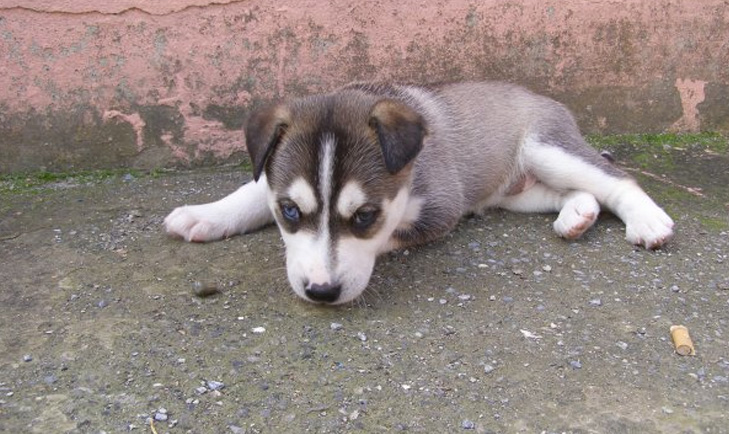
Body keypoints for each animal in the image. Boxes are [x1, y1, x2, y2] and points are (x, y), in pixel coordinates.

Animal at [164, 82, 672, 306]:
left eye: (364, 217)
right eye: (290, 211)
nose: (322, 292)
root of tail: (545, 99)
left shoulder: (442, 208)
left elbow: (385, 239)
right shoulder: (272, 180)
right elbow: (252, 192)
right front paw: (206, 214)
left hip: (548, 147)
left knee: (615, 179)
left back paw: (648, 221)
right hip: (517, 190)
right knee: (577, 192)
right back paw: (577, 216)